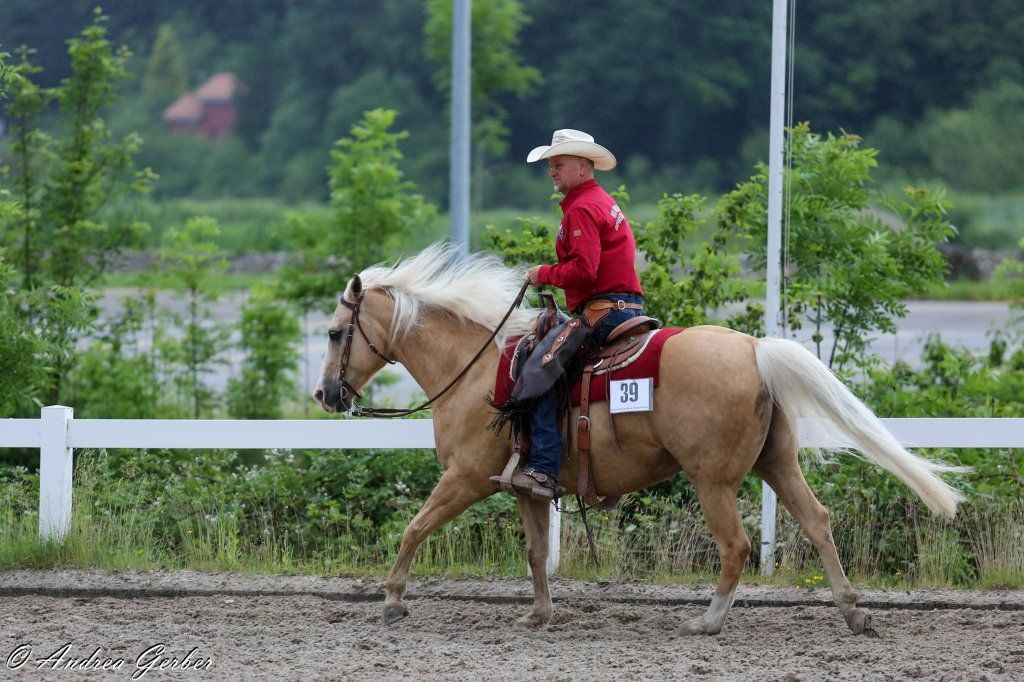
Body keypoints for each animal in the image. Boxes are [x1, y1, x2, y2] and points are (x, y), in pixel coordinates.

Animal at [313, 243, 965, 636]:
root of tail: (755, 349)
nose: (325, 394)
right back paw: (854, 613)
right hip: (777, 464)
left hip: (713, 480)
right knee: (819, 523)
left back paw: (708, 621)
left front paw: (393, 599)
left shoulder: (467, 478)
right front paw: (539, 614)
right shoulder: (525, 488)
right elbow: (535, 553)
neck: (476, 370)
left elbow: (414, 527)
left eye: (336, 331)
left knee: (736, 546)